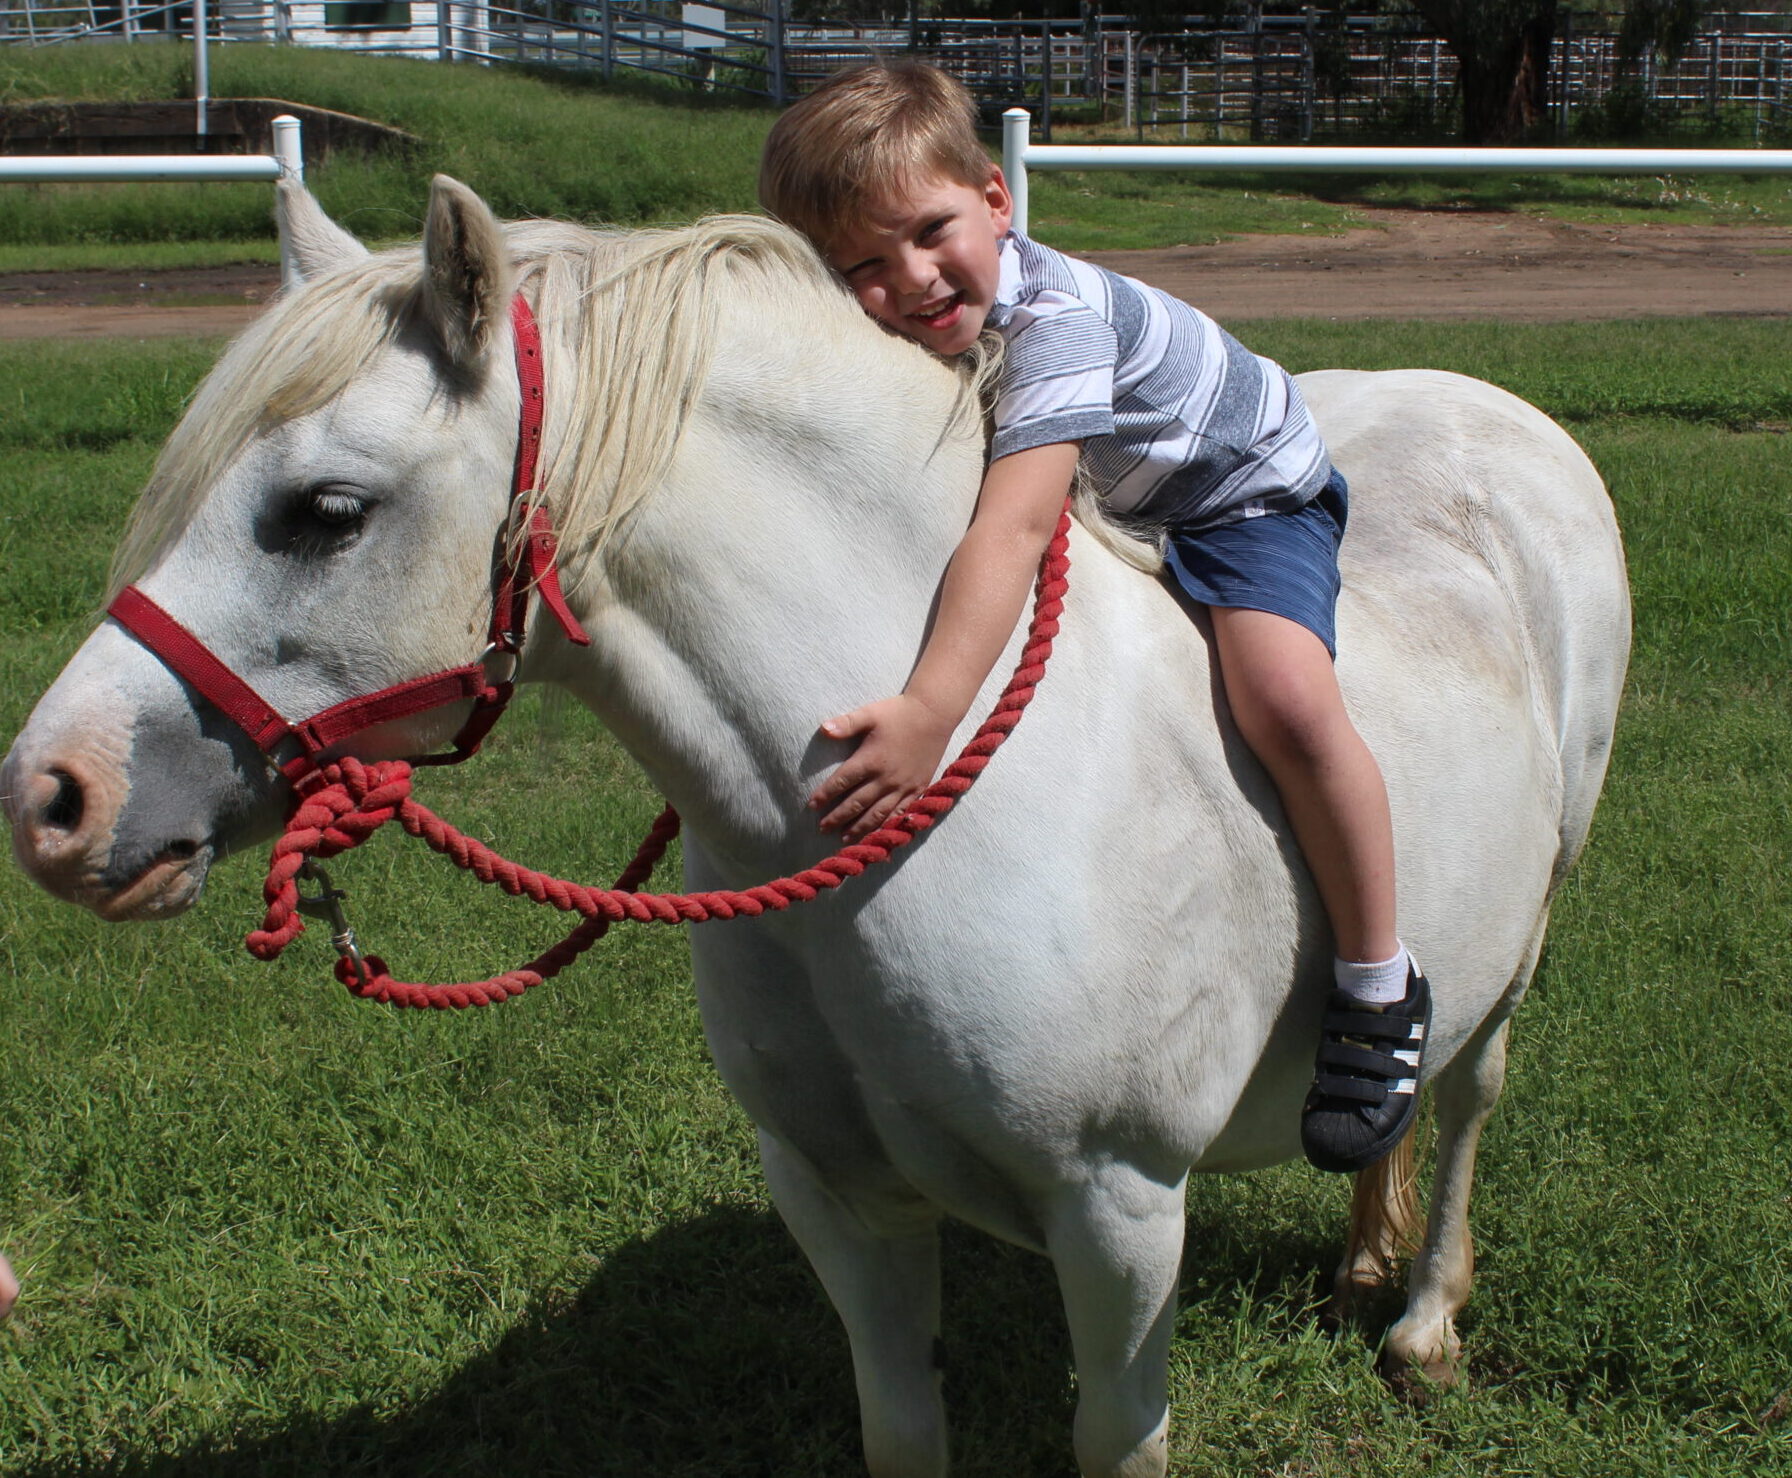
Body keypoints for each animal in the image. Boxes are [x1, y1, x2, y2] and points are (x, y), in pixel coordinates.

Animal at [0, 179, 1634, 1469]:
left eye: (326, 510)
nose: (50, 796)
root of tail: (1487, 407)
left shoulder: (1119, 1212)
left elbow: (1119, 1436)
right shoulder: (839, 1198)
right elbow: (900, 1425)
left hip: (1528, 931)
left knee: (1468, 1091)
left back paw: (1420, 1318)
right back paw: (1362, 1254)